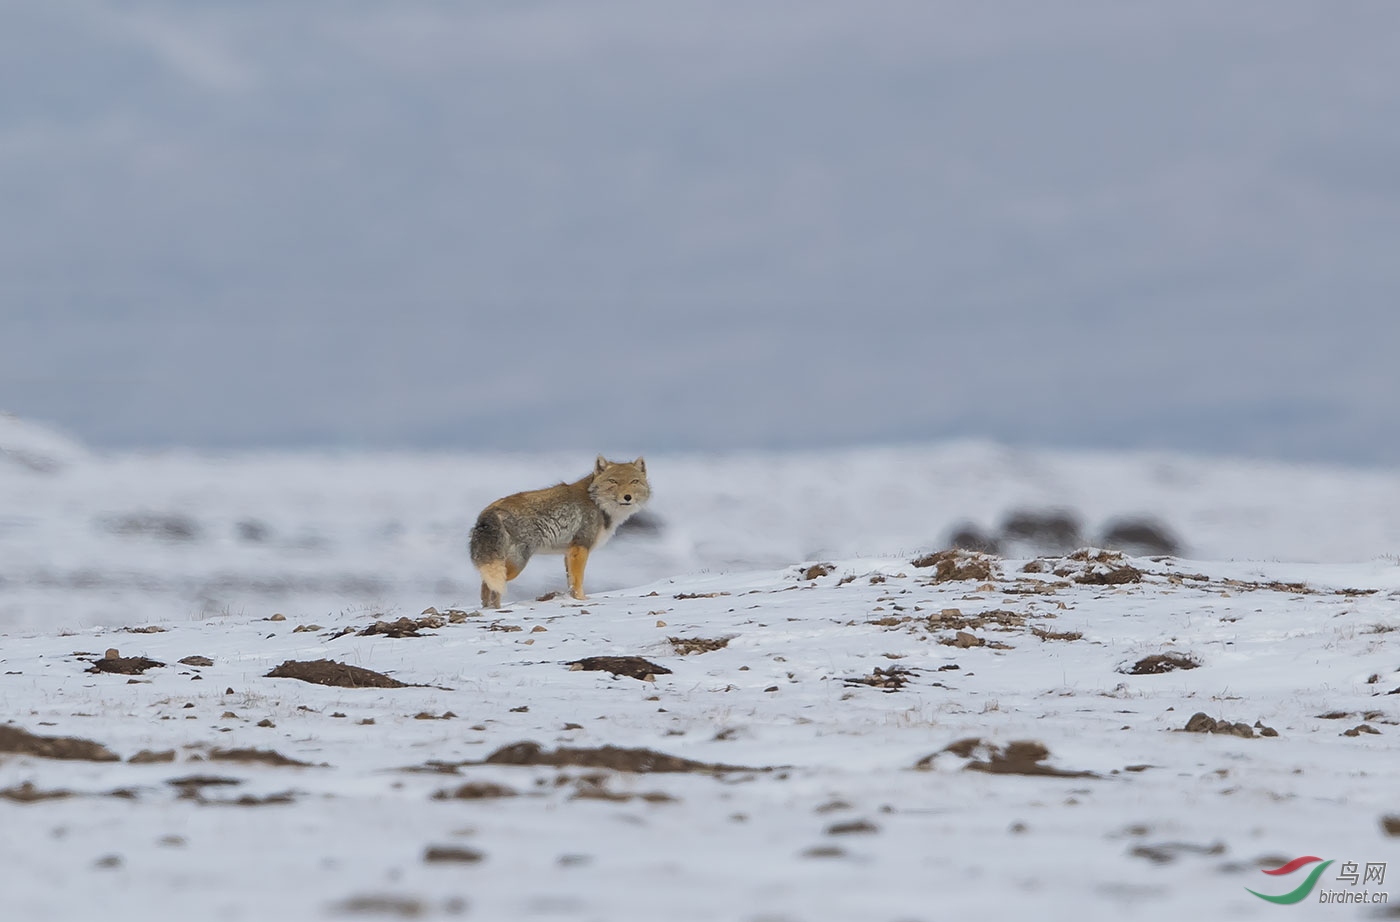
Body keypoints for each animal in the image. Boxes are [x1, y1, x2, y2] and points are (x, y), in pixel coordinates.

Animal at [467, 456, 646, 612]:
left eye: (634, 481)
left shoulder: (569, 552)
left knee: (485, 586)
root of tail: (489, 512)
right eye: (613, 481)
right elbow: (578, 580)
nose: (627, 497)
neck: (597, 503)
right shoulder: (581, 546)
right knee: (492, 588)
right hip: (515, 565)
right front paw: (581, 600)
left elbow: (571, 581)